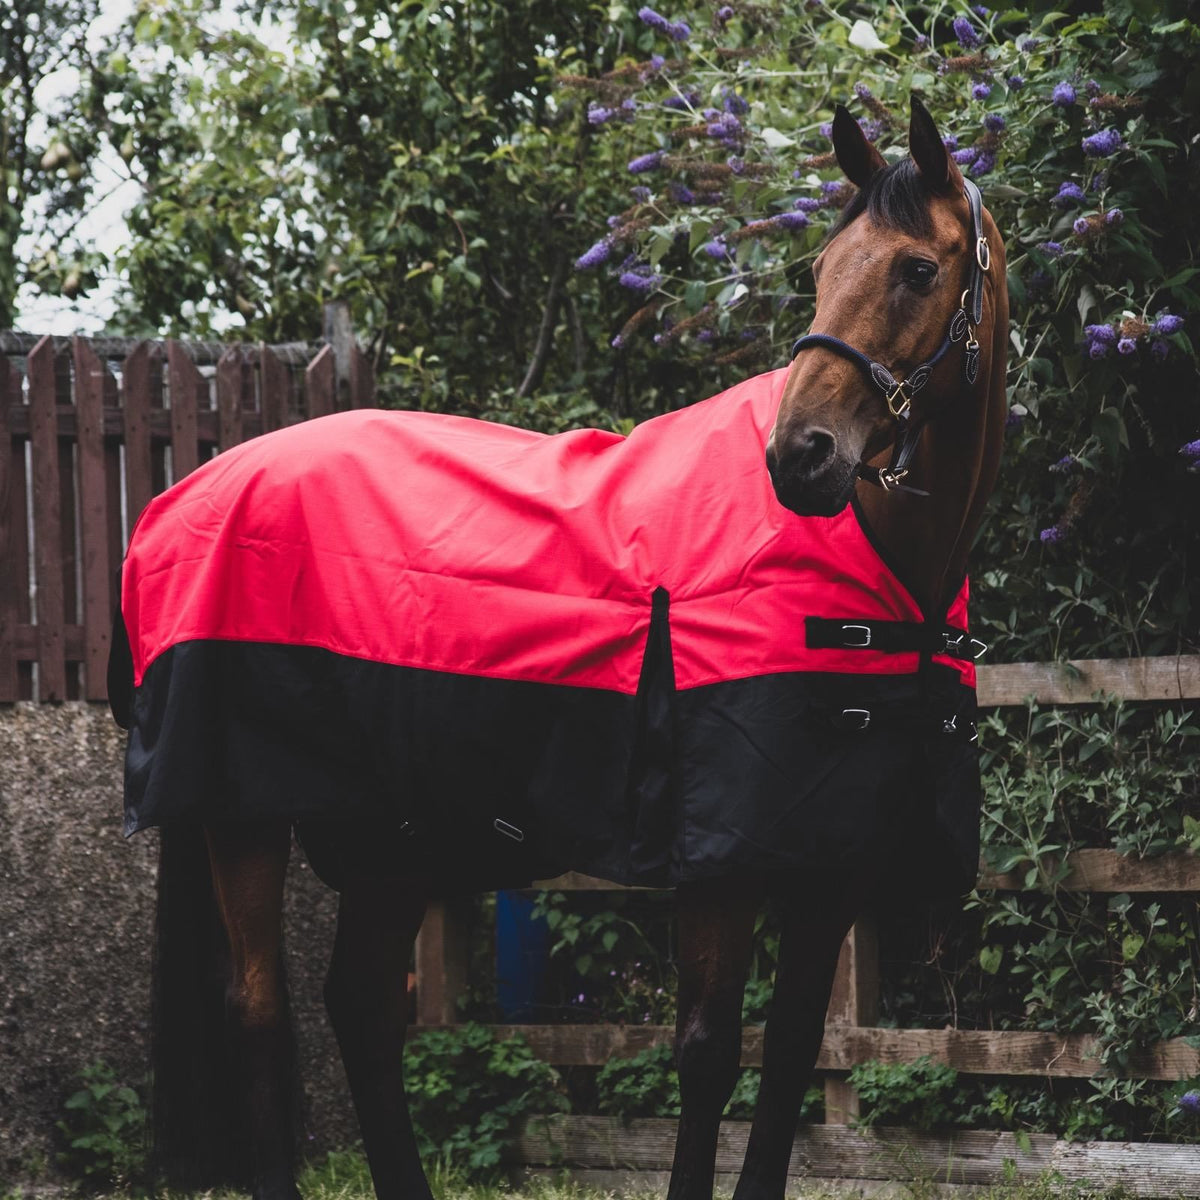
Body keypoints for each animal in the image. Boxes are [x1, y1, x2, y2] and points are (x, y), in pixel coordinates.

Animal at [109, 97, 1009, 1200]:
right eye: (823, 267)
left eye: (917, 269)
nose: (801, 458)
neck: (882, 560)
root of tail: (173, 502)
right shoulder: (720, 865)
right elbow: (709, 1058)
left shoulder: (828, 866)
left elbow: (793, 1054)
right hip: (242, 818)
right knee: (260, 1014)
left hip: (389, 833)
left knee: (360, 1007)